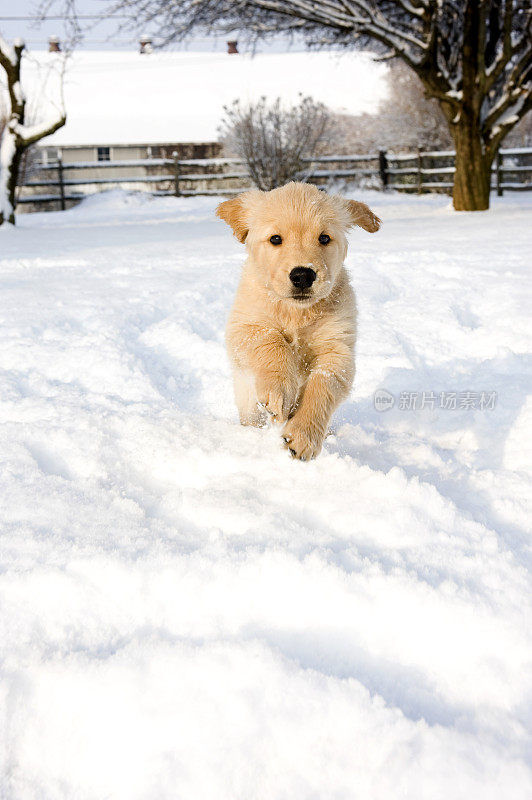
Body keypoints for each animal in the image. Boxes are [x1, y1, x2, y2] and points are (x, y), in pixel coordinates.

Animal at [215, 180, 378, 456]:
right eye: (275, 239)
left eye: (324, 238)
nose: (303, 275)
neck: (296, 312)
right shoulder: (245, 326)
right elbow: (271, 342)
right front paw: (279, 392)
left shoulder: (338, 348)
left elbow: (323, 384)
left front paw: (303, 436)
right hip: (247, 403)